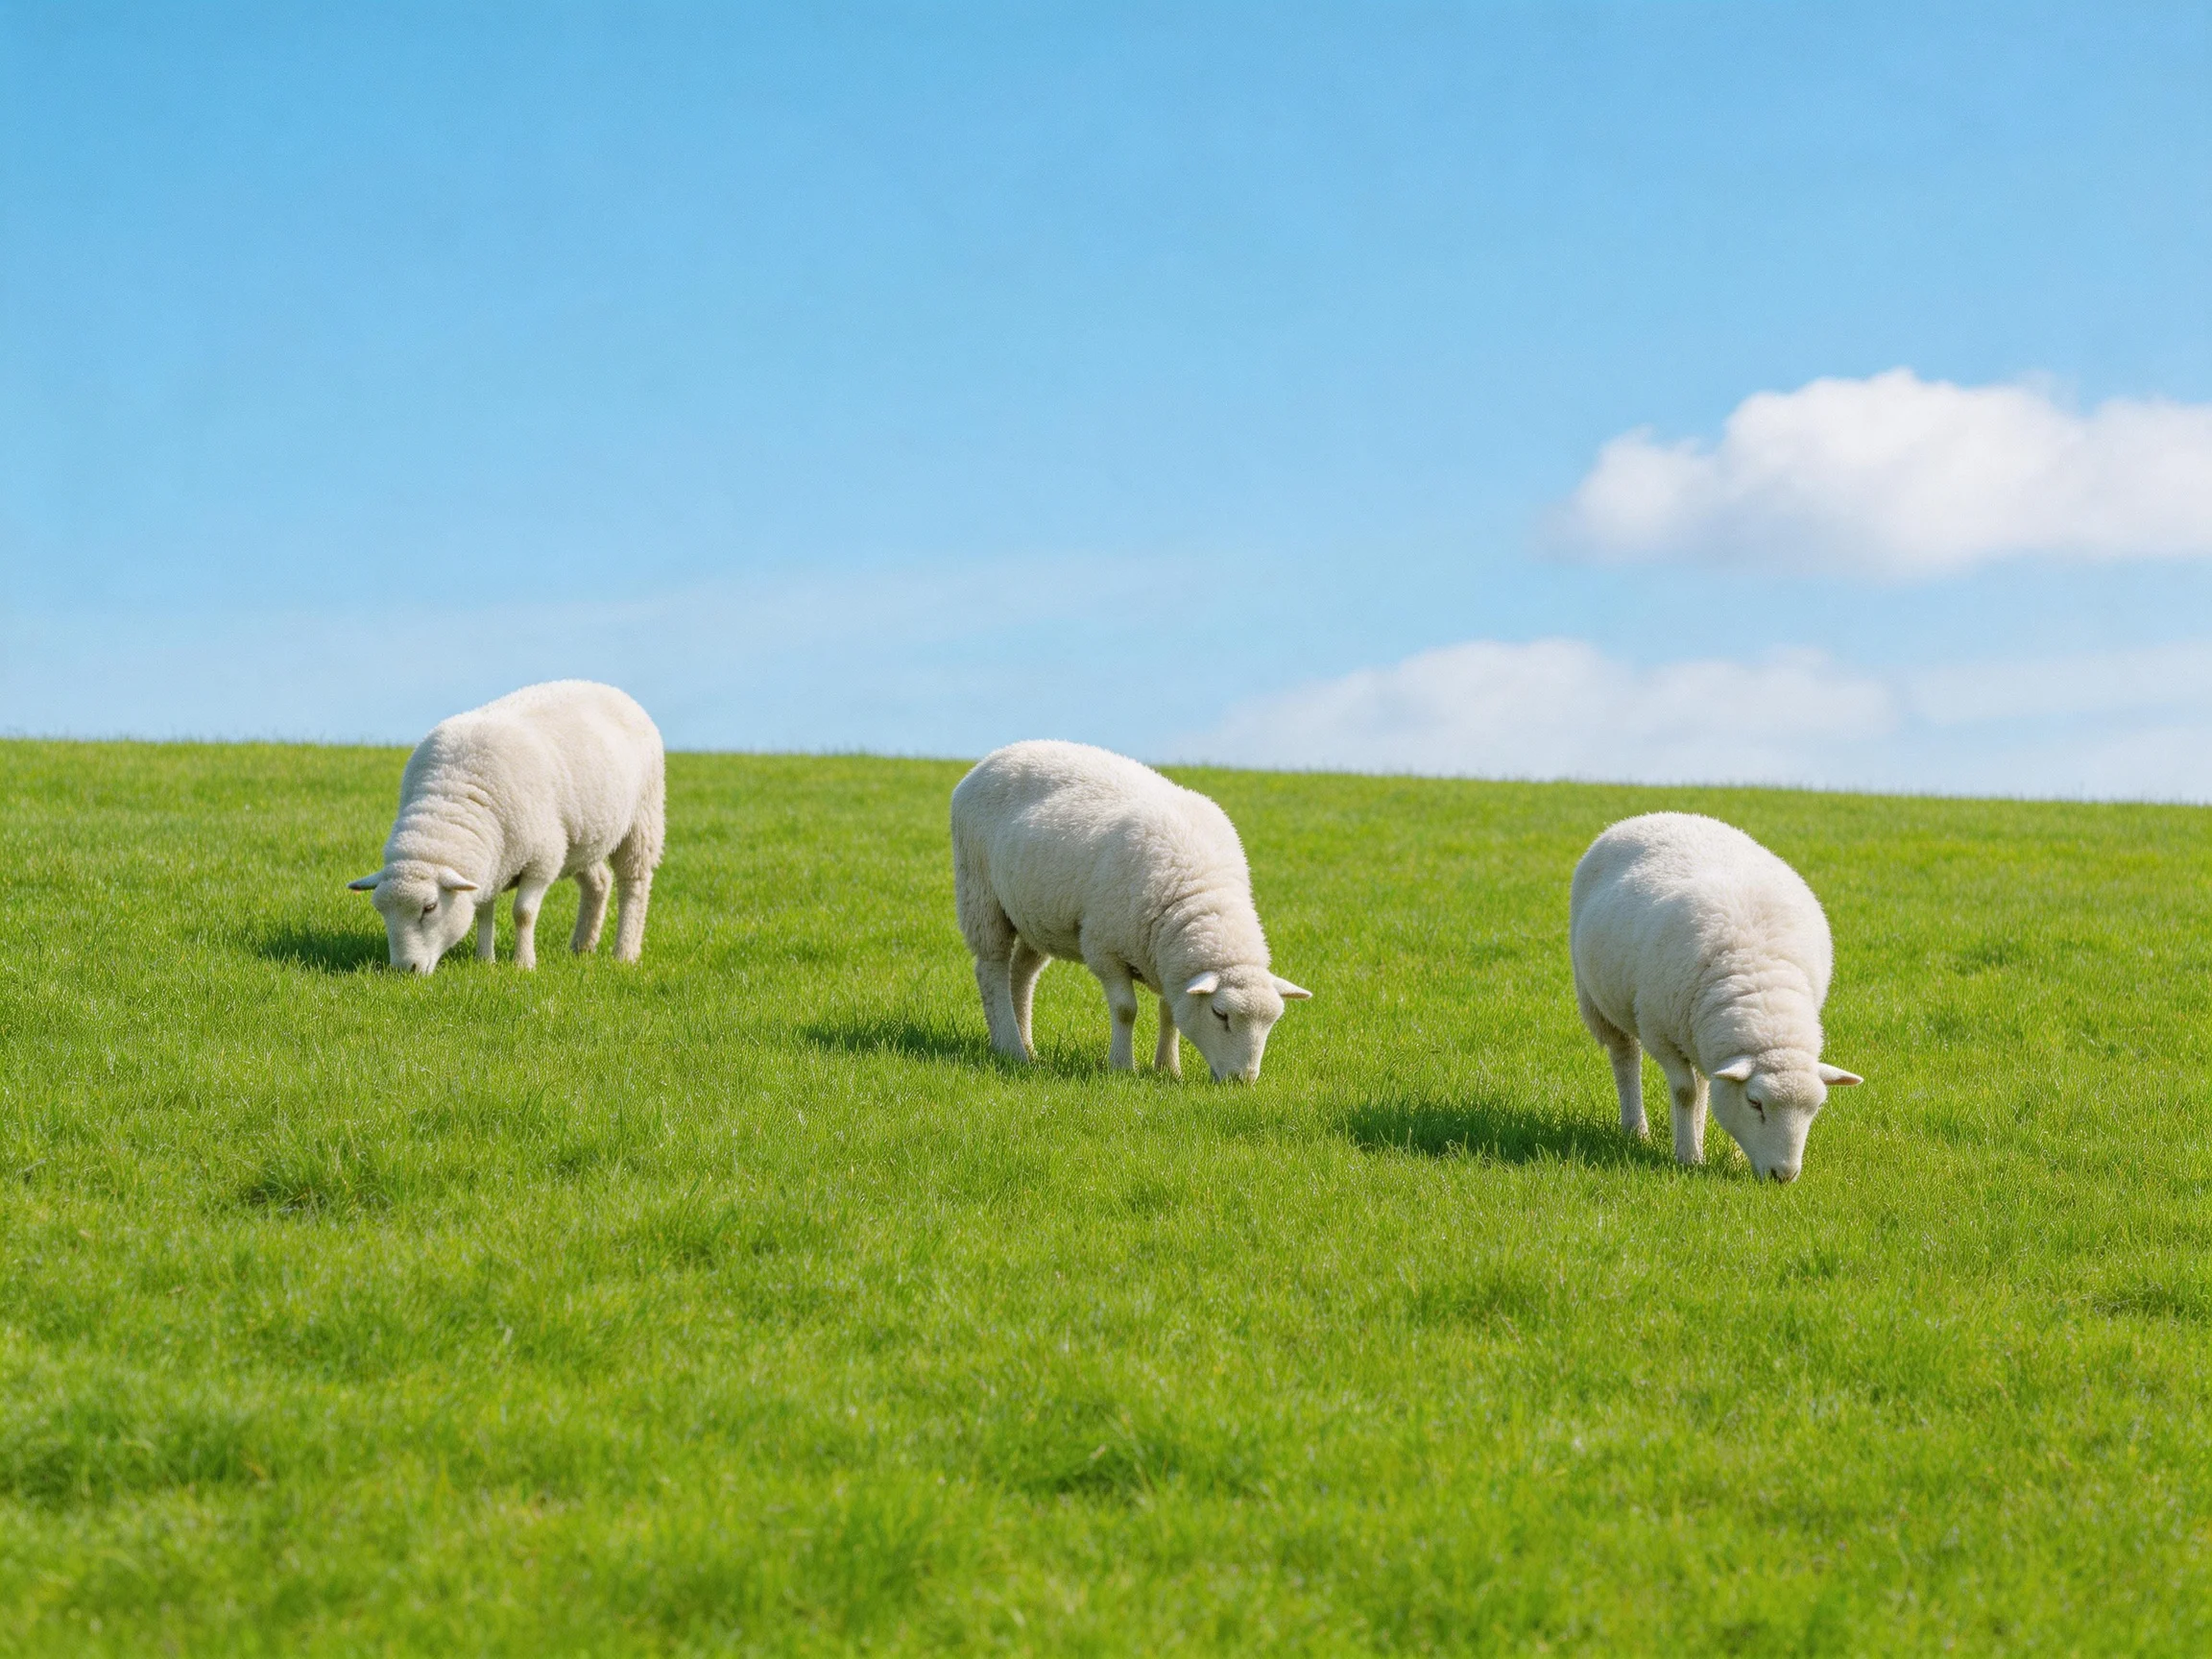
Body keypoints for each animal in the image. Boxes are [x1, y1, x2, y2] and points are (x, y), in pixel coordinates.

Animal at [348, 680, 665, 975]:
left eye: (429, 907)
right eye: (380, 909)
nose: (404, 969)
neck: (451, 794)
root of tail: (610, 689)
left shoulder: (542, 859)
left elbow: (523, 913)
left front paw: (523, 963)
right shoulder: (491, 864)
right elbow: (483, 912)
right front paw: (485, 960)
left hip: (642, 817)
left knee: (634, 885)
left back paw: (625, 952)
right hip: (580, 839)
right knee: (599, 882)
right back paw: (582, 946)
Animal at [950, 740, 1310, 1082]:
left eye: (1272, 1022)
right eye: (1220, 1014)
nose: (1242, 1080)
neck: (1199, 891)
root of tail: (998, 755)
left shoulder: (1168, 961)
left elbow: (1170, 1012)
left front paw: (1168, 1069)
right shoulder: (1104, 948)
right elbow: (1126, 1009)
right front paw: (1122, 1066)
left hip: (1037, 916)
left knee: (1022, 974)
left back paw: (1026, 1045)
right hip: (979, 891)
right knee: (991, 969)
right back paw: (1010, 1046)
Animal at [1569, 811, 1861, 1183]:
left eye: (1816, 1107)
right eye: (1755, 1103)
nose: (1783, 1176)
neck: (1761, 986)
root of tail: (1656, 816)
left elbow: (1710, 1091)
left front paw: (1730, 1157)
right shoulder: (1659, 1032)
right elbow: (1684, 1092)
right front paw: (1688, 1157)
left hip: (1695, 1029)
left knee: (1705, 1080)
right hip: (1598, 1001)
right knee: (1625, 1059)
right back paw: (1636, 1129)